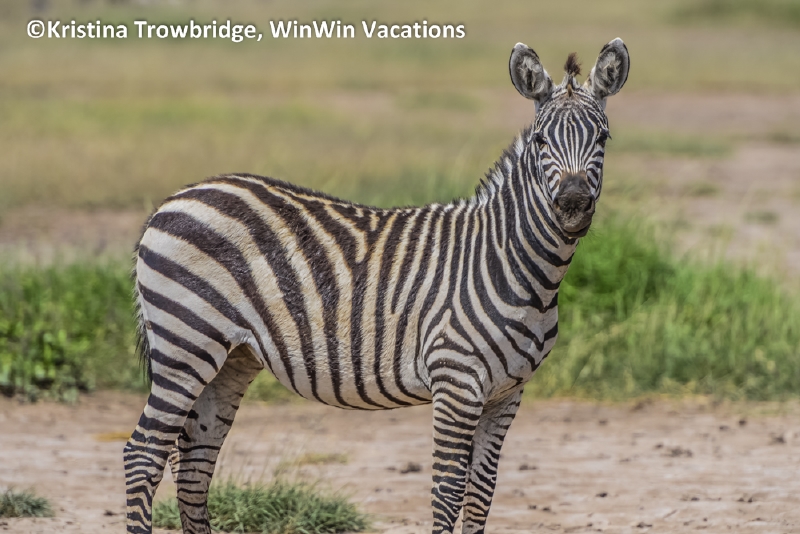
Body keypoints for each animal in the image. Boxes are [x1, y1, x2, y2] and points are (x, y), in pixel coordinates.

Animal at [124, 38, 629, 534]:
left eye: (603, 137)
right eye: (542, 140)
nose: (572, 205)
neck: (512, 264)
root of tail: (172, 200)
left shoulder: (507, 394)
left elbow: (481, 495)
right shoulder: (456, 381)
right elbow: (448, 491)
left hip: (231, 357)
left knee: (194, 462)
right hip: (186, 342)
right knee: (143, 453)